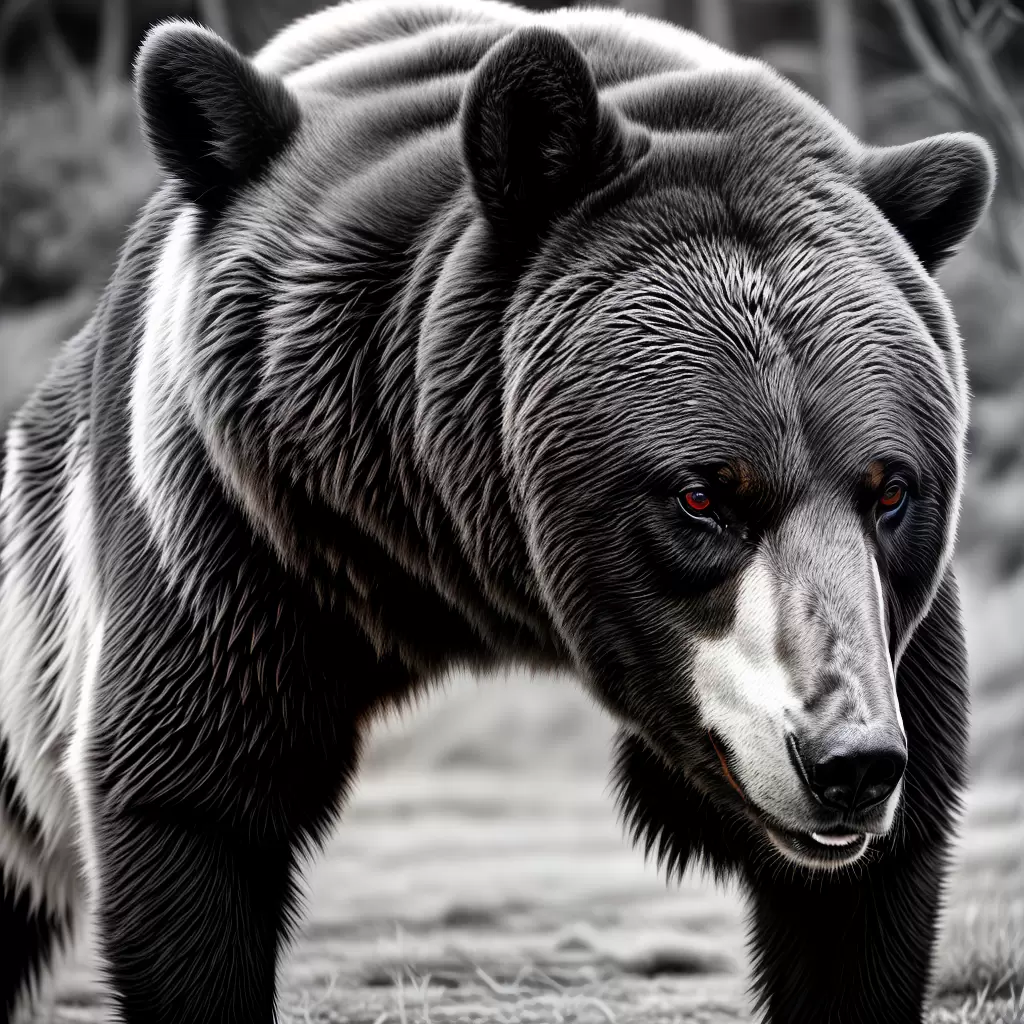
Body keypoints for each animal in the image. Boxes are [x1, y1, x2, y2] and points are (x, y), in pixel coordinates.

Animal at [0, 1, 994, 1021]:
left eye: (890, 489)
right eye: (703, 493)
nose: (845, 763)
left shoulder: (889, 631)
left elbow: (865, 894)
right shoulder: (244, 514)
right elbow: (192, 791)